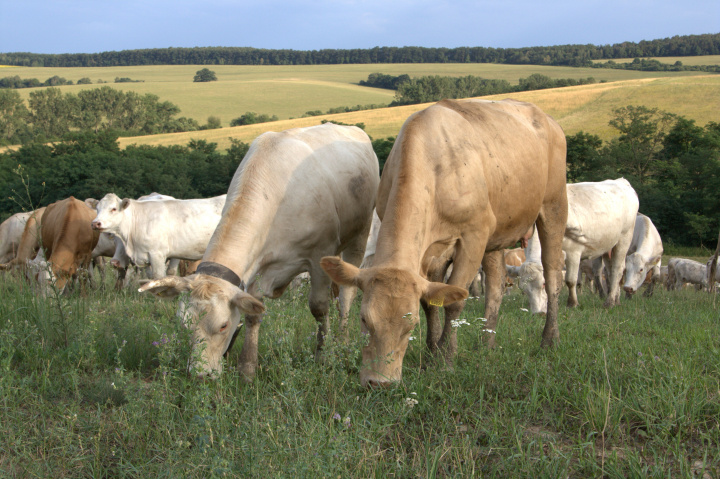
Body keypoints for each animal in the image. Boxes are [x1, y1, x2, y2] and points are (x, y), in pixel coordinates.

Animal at [90, 193, 225, 280]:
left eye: (113, 209)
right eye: (97, 209)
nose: (95, 223)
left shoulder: (157, 254)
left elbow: (159, 277)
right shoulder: (145, 256)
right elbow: (150, 277)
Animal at [137, 124, 380, 378]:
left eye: (223, 325)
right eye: (184, 325)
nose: (200, 374)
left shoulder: (319, 255)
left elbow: (319, 308)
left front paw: (322, 356)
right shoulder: (255, 267)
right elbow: (253, 314)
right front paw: (247, 367)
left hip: (359, 237)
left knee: (345, 295)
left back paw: (343, 341)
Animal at [320, 99, 568, 388]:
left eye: (410, 326)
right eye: (364, 319)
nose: (379, 382)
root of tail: (545, 117)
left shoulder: (474, 235)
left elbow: (454, 301)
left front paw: (446, 359)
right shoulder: (430, 250)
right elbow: (431, 300)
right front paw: (431, 352)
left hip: (553, 205)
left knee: (552, 274)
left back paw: (550, 339)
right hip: (497, 233)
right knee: (496, 284)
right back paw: (486, 343)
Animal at [516, 178, 640, 314]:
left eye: (543, 284)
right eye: (523, 290)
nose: (538, 313)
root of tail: (621, 181)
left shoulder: (573, 251)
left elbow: (570, 280)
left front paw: (572, 303)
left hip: (625, 237)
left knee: (617, 269)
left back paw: (609, 302)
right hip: (609, 246)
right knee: (610, 271)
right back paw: (616, 299)